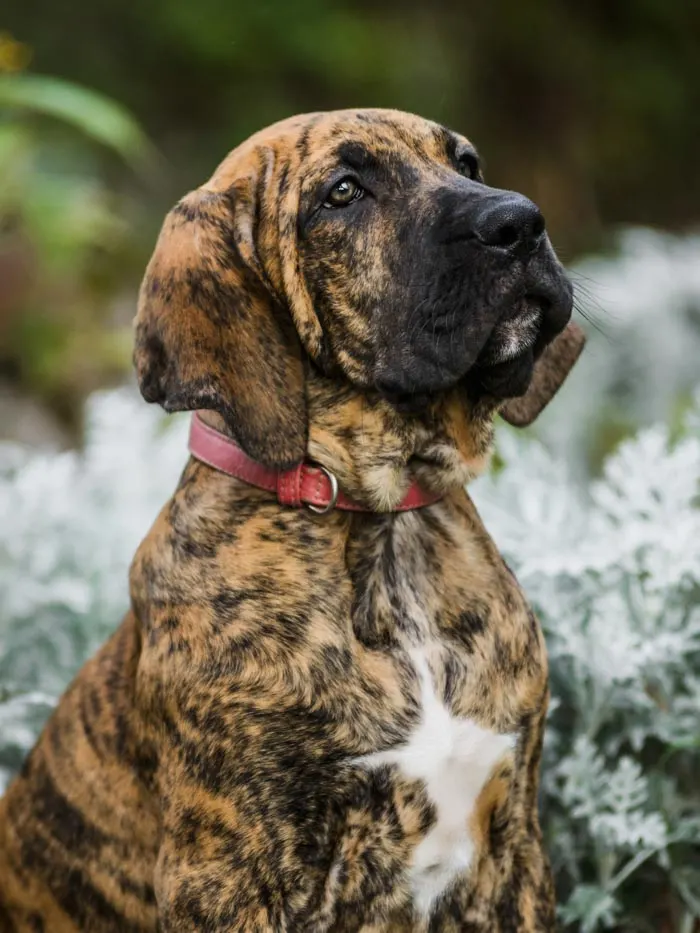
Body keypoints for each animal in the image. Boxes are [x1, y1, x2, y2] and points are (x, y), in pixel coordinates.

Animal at [0, 105, 584, 928]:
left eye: (466, 163)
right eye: (342, 193)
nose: (520, 223)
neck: (378, 524)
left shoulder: (515, 851)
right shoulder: (229, 876)